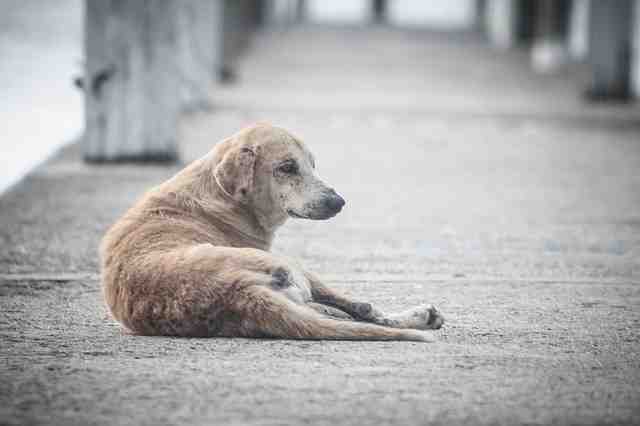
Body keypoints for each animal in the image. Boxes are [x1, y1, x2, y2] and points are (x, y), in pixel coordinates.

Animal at [101, 121, 444, 342]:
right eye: (287, 167)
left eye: (312, 165)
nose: (339, 202)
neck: (219, 194)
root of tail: (239, 292)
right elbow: (357, 304)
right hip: (291, 266)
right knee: (362, 311)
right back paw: (417, 317)